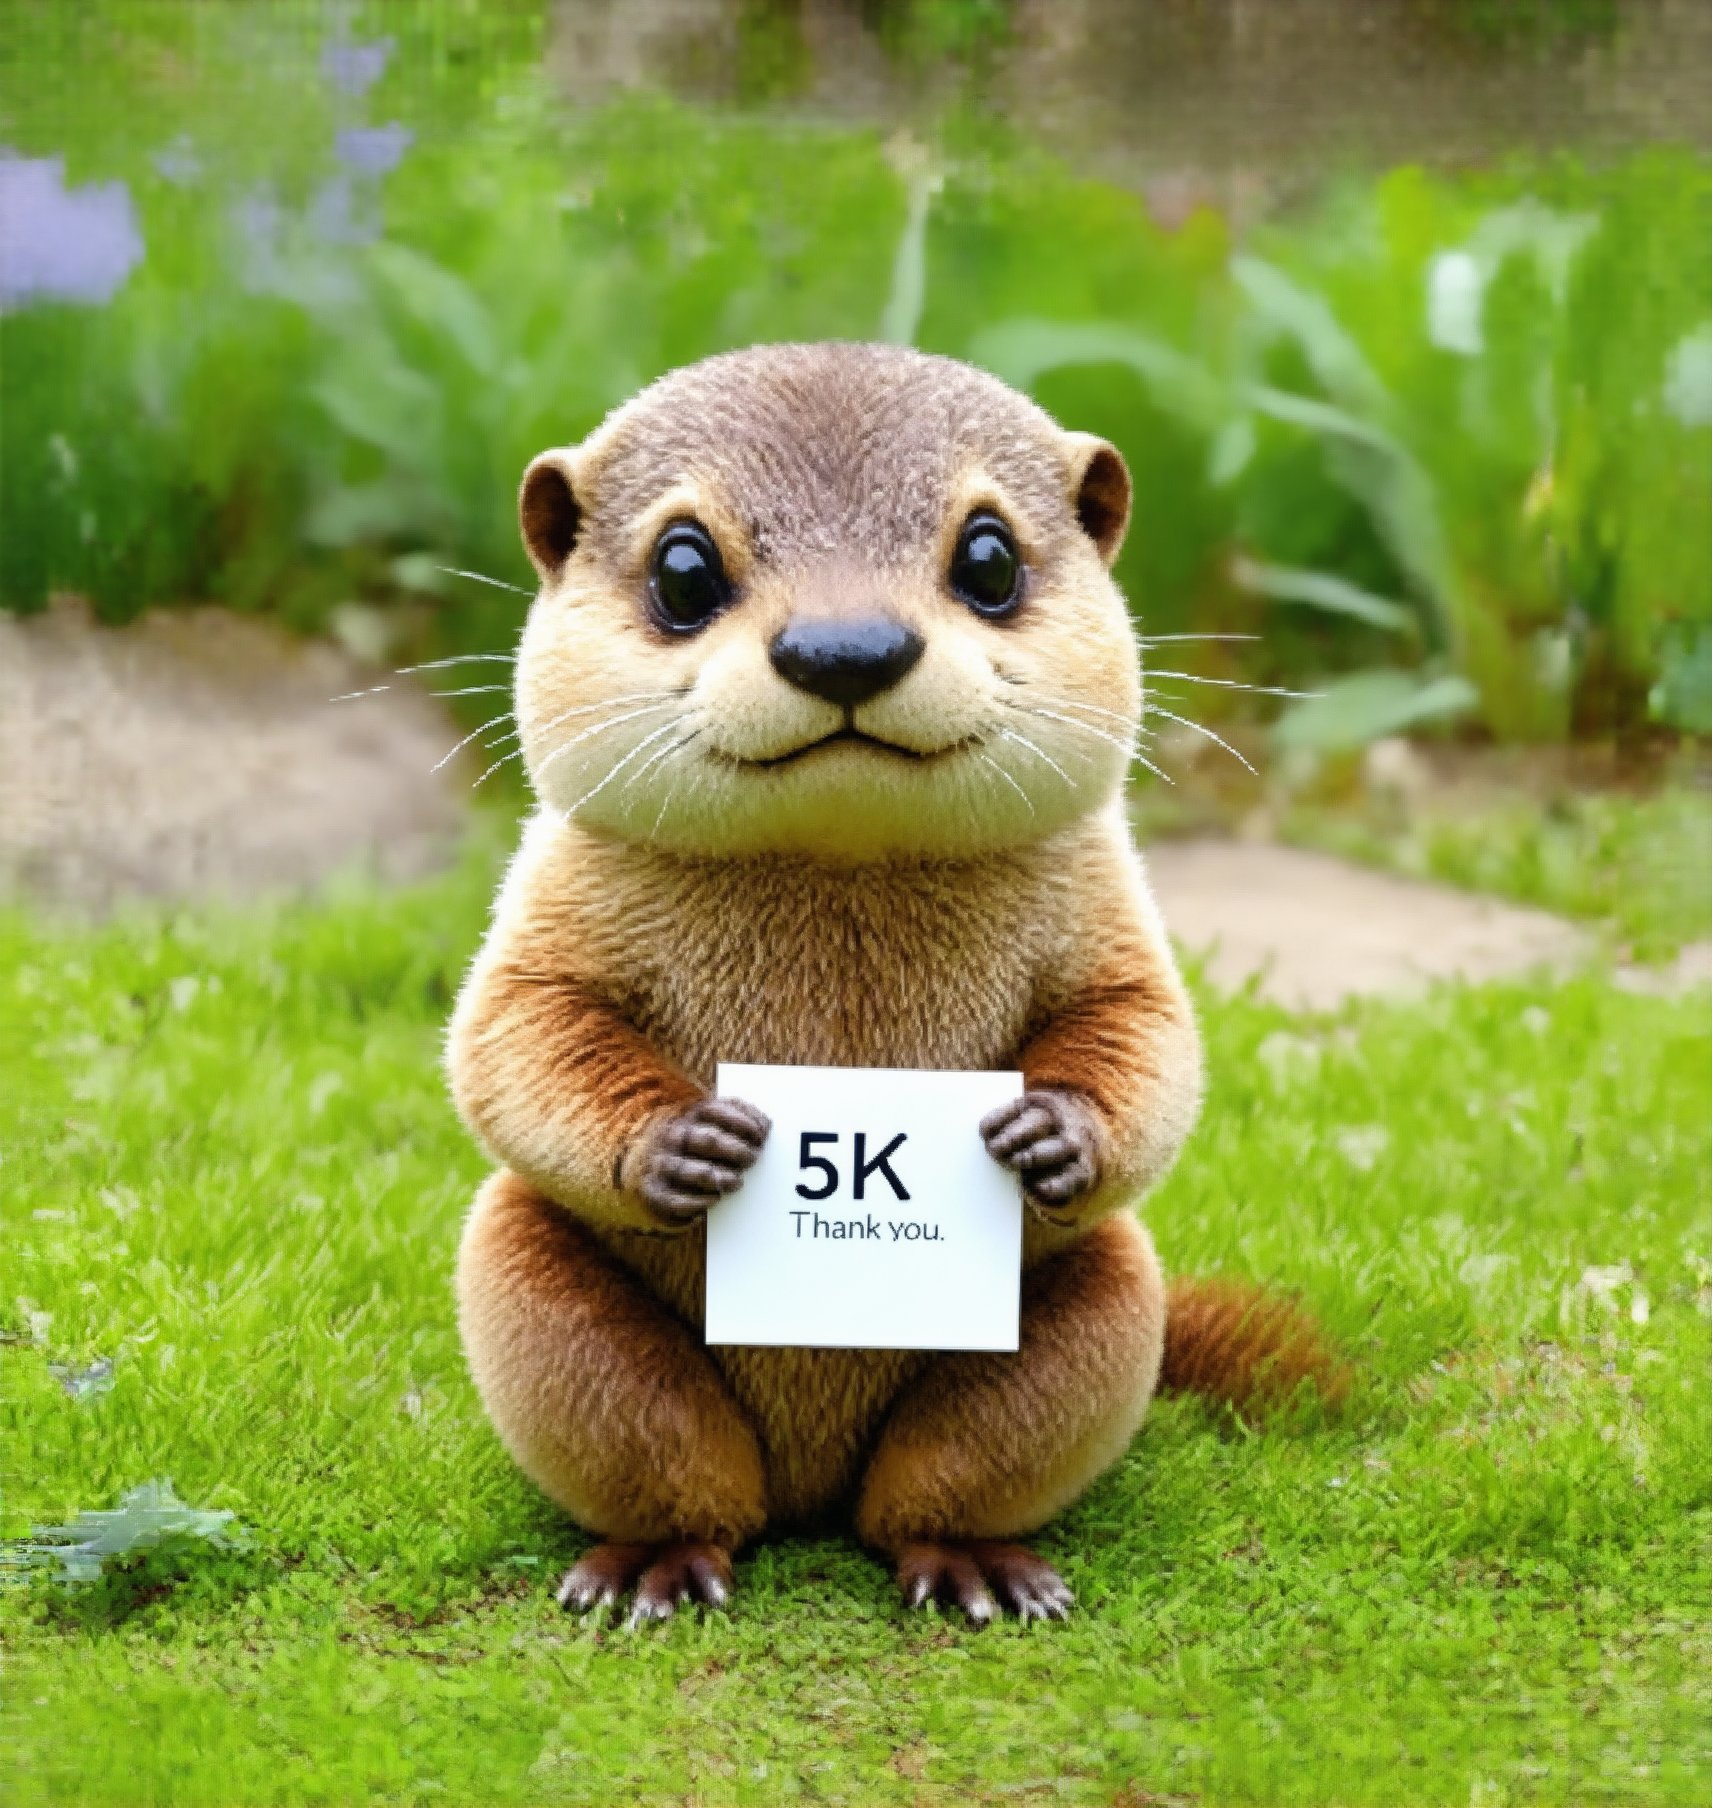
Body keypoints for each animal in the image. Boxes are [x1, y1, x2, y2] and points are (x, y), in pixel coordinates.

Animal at [444, 341, 1337, 1627]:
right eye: (681, 566)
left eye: (988, 556)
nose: (845, 649)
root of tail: (808, 1486)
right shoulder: (547, 904)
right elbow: (511, 1034)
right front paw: (681, 1143)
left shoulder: (1110, 912)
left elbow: (1148, 1031)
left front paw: (1052, 1132)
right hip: (534, 1286)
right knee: (689, 1478)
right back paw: (653, 1567)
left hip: (1104, 1300)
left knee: (926, 1494)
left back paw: (974, 1567)